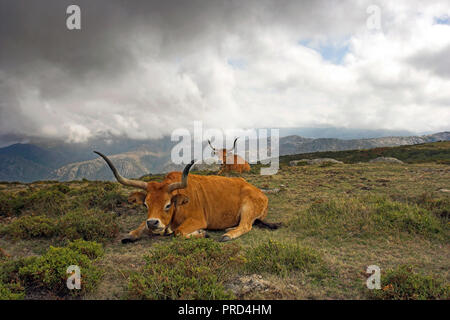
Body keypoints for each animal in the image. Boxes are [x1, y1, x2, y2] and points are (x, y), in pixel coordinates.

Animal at [94, 151, 278, 244]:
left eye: (168, 205)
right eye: (145, 205)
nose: (153, 223)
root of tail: (258, 191)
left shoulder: (197, 219)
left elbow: (179, 232)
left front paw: (202, 233)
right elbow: (138, 228)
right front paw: (131, 234)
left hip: (248, 207)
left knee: (246, 225)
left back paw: (227, 235)